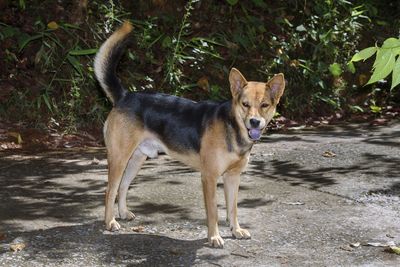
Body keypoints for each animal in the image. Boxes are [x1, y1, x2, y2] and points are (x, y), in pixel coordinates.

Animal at [94, 21, 284, 249]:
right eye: (245, 104)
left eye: (264, 105)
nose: (254, 122)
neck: (233, 127)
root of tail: (125, 96)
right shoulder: (209, 177)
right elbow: (213, 212)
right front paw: (214, 237)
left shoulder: (233, 177)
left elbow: (233, 208)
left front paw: (235, 230)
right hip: (119, 158)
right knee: (109, 190)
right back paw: (110, 222)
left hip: (137, 159)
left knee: (123, 187)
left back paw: (122, 213)